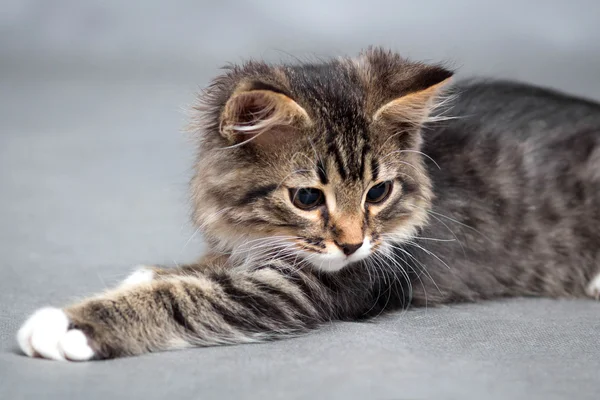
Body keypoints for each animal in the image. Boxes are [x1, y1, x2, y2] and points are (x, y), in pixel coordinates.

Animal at [16, 47, 600, 362]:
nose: (353, 243)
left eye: (378, 192)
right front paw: (154, 272)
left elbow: (187, 298)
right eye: (306, 198)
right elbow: (198, 270)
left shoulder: (299, 289)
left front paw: (71, 326)